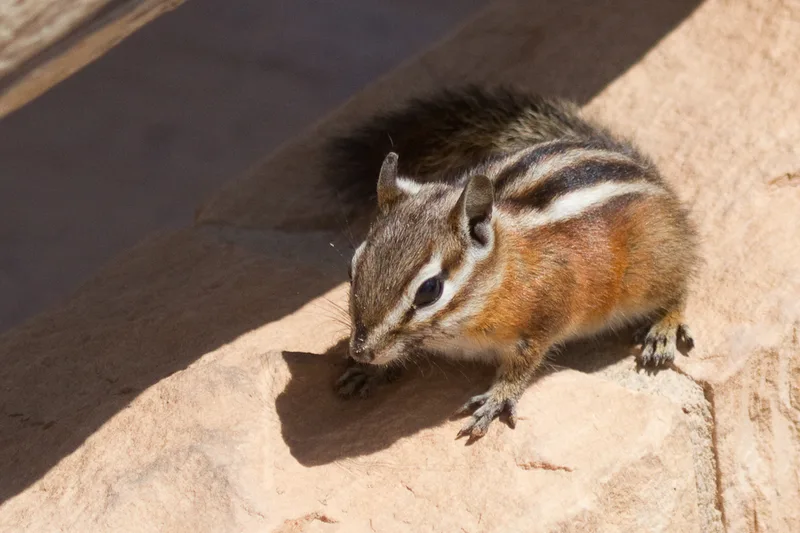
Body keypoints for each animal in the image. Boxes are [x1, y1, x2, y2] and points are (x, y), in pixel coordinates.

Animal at [325, 85, 699, 439]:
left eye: (430, 290)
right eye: (352, 267)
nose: (361, 351)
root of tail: (650, 174)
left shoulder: (544, 318)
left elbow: (524, 363)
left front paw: (497, 397)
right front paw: (369, 371)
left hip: (652, 269)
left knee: (681, 283)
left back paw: (665, 326)